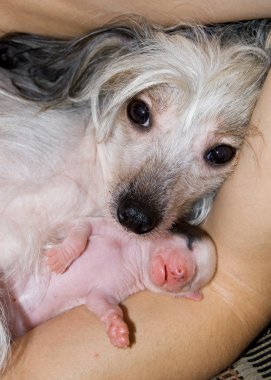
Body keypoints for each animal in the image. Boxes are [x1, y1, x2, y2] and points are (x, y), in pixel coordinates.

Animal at [7, 218, 218, 348]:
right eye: (189, 243)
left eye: (193, 281)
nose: (180, 273)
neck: (135, 257)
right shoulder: (106, 226)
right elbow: (81, 227)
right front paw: (61, 257)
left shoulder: (109, 290)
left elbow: (100, 302)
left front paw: (117, 328)